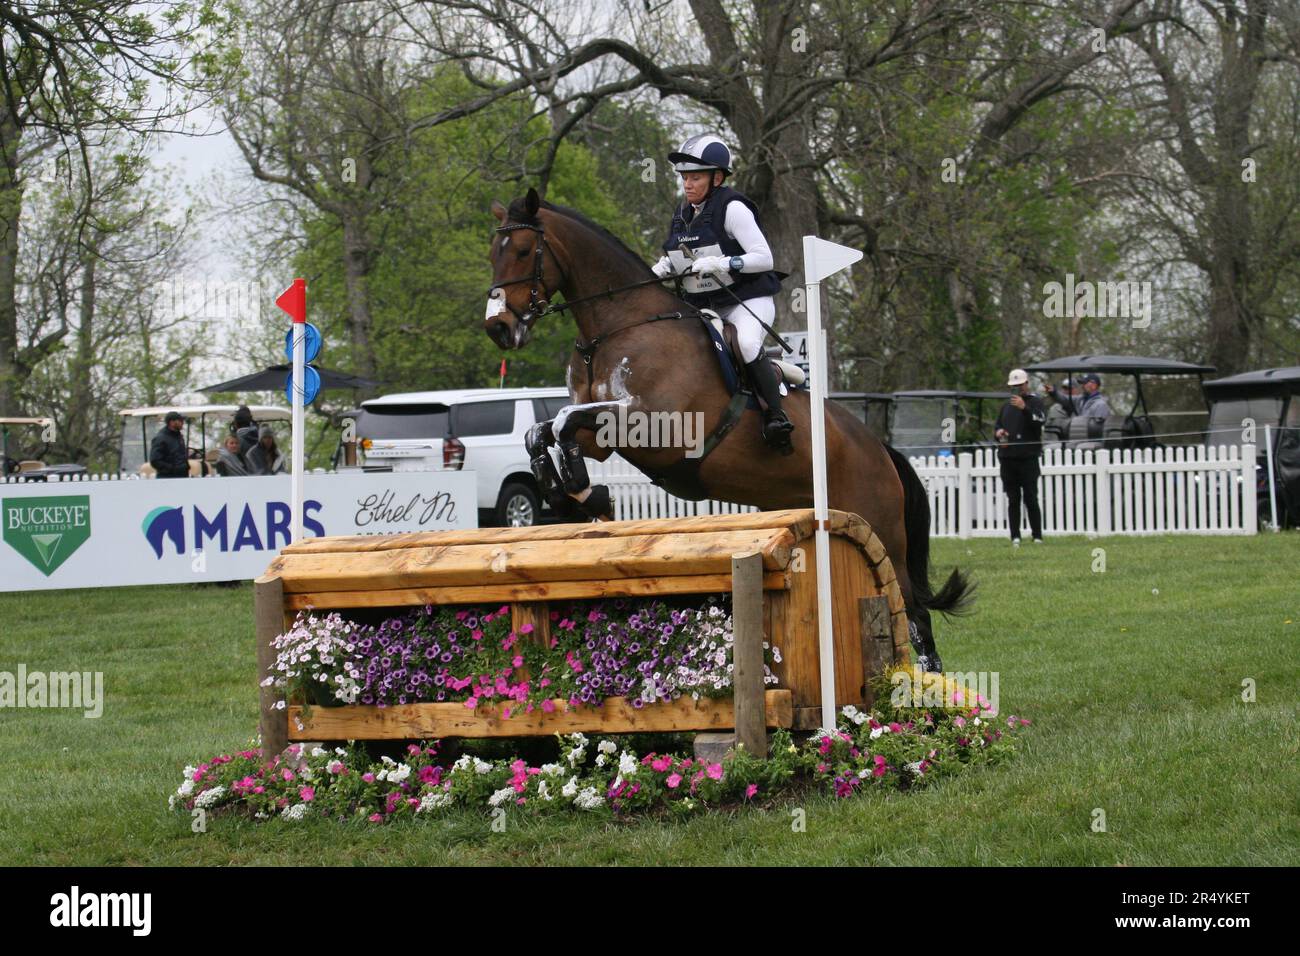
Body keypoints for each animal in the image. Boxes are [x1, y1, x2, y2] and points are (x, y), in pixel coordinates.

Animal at [483, 187, 971, 669]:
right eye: (493, 253)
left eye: (524, 250)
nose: (498, 328)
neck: (617, 326)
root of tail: (881, 449)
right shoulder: (600, 434)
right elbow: (544, 431)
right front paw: (571, 493)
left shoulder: (652, 426)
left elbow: (564, 422)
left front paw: (587, 495)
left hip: (883, 527)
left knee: (915, 613)